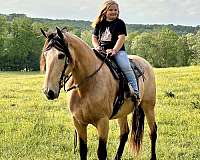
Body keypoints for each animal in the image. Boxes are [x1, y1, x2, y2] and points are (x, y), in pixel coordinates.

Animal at [39, 26, 157, 159]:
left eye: (61, 55)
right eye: (45, 54)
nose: (48, 91)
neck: (86, 87)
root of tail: (146, 63)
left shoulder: (103, 122)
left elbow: (101, 152)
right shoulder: (79, 123)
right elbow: (83, 150)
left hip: (148, 106)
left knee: (152, 131)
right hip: (122, 112)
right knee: (124, 133)